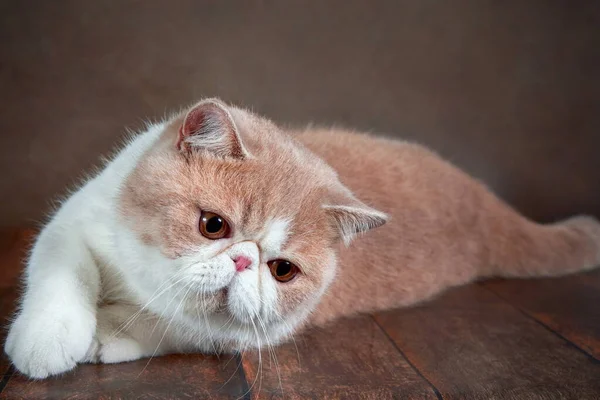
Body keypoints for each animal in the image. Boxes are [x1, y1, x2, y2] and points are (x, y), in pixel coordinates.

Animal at [4, 97, 600, 378]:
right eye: (213, 226)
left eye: (282, 270)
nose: (243, 261)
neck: (139, 279)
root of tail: (481, 197)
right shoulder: (74, 222)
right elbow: (60, 272)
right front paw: (49, 337)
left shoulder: (250, 332)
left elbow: (171, 325)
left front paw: (110, 332)